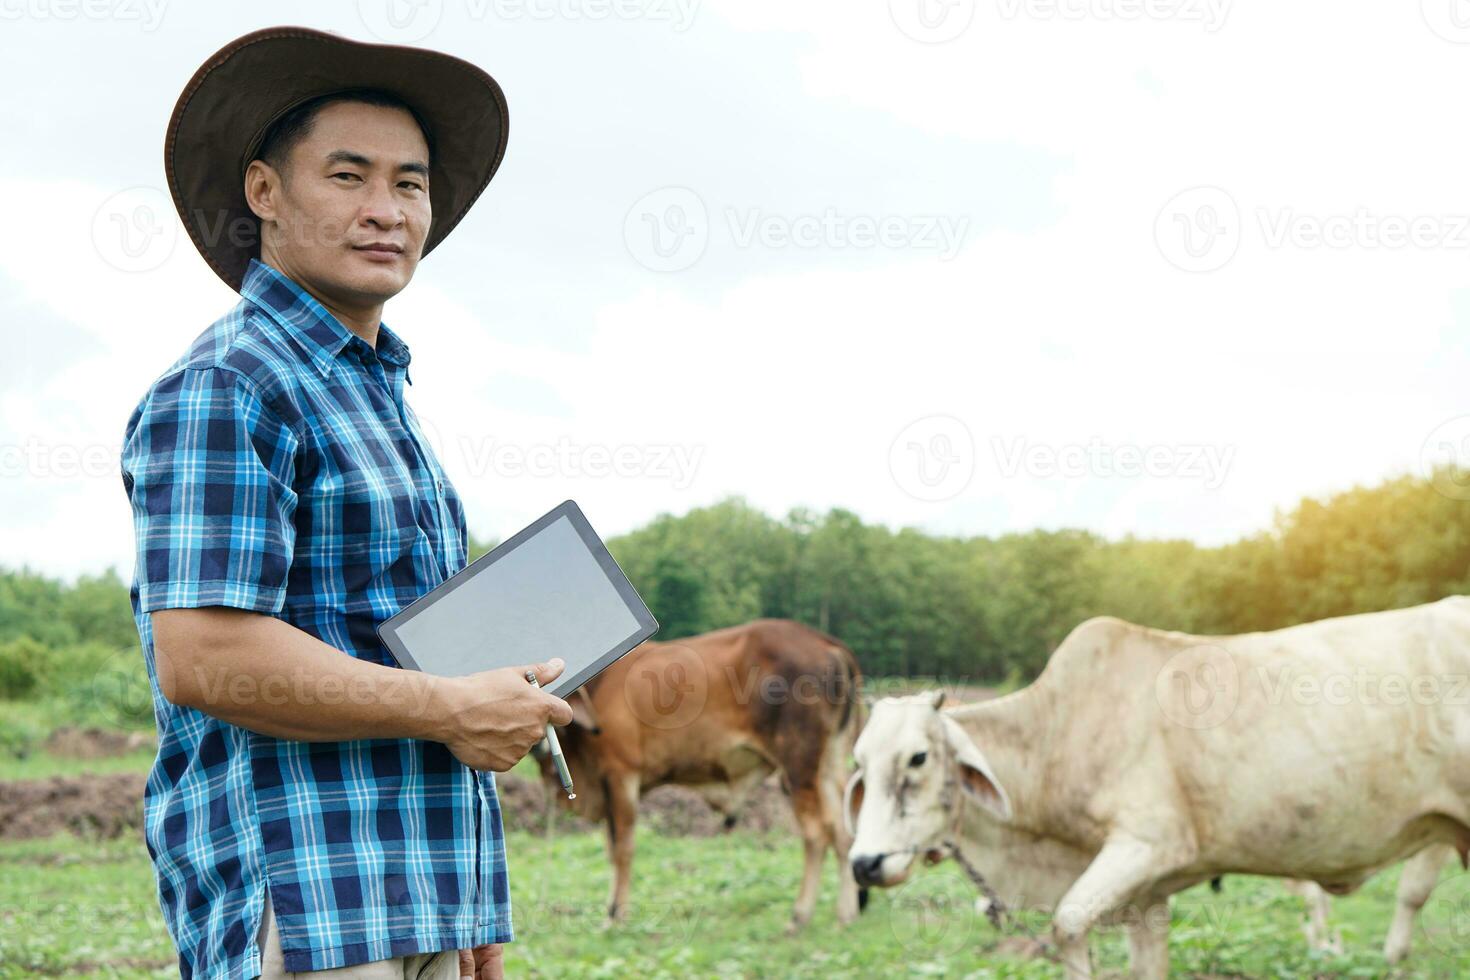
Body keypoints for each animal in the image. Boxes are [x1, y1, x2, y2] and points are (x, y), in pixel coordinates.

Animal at [535, 620, 864, 934]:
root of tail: (826, 643)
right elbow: (611, 847)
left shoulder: (621, 775)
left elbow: (622, 849)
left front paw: (615, 915)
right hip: (829, 764)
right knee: (842, 833)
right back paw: (845, 914)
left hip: (798, 766)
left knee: (816, 834)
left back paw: (800, 915)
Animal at [846, 599, 1470, 980]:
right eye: (859, 764)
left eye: (918, 758)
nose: (864, 864)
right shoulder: (1146, 897)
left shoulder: (1146, 845)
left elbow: (1066, 925)